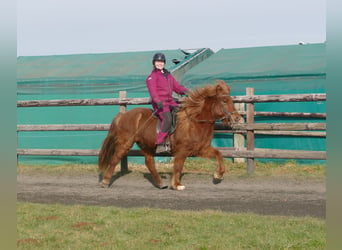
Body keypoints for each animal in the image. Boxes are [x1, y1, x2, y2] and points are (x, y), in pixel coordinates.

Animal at [97, 79, 242, 190]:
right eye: (224, 101)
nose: (237, 118)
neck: (194, 122)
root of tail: (123, 115)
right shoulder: (182, 151)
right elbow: (178, 167)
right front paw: (177, 185)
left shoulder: (201, 149)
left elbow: (219, 154)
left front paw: (218, 175)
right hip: (126, 142)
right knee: (115, 159)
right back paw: (105, 182)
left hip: (146, 145)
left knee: (149, 162)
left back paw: (160, 183)